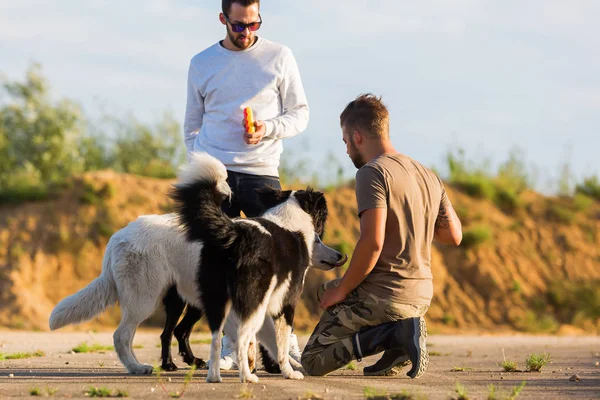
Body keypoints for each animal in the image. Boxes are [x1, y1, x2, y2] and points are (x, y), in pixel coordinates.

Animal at [50, 152, 346, 382]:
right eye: (318, 239)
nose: (341, 256)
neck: (286, 223)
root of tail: (118, 237)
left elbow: (263, 341)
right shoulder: (281, 304)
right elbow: (279, 342)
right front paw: (286, 370)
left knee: (172, 333)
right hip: (147, 299)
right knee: (124, 335)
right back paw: (140, 367)